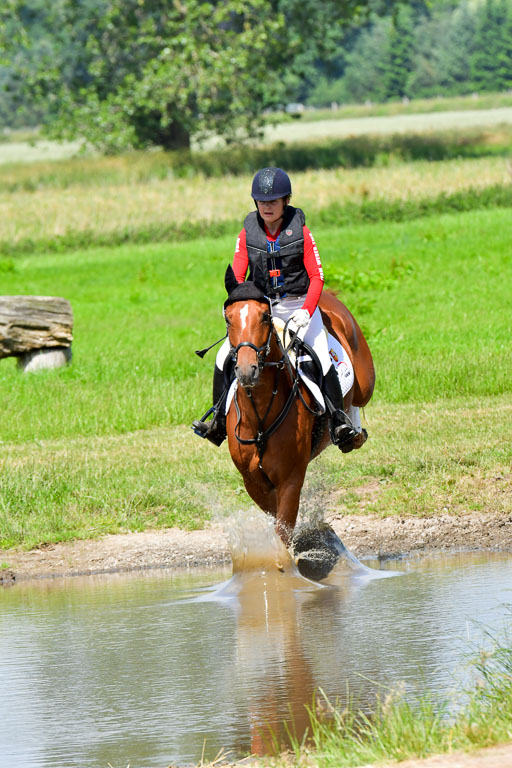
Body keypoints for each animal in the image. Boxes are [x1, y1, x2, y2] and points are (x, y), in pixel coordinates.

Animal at [223, 266, 375, 547]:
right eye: (228, 319)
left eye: (264, 317)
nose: (247, 370)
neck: (260, 416)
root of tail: (327, 297)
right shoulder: (253, 481)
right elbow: (274, 520)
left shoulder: (290, 480)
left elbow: (283, 532)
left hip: (365, 383)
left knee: (355, 400)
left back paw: (350, 432)